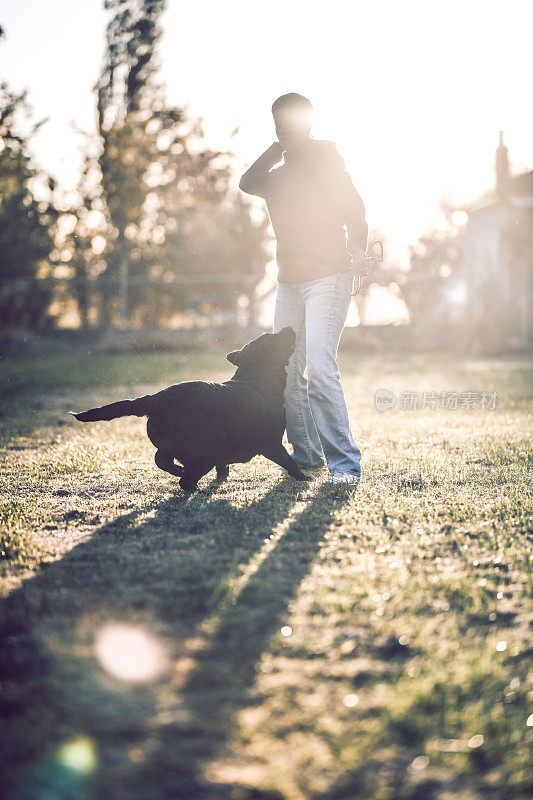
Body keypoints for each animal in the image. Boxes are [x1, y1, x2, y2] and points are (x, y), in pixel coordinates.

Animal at [72, 326, 310, 490]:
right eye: (275, 337)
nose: (288, 327)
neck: (256, 381)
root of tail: (157, 398)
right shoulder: (272, 444)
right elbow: (289, 462)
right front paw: (305, 478)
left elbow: (223, 466)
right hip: (210, 445)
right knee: (185, 480)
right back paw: (195, 487)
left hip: (175, 444)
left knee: (162, 460)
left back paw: (179, 471)